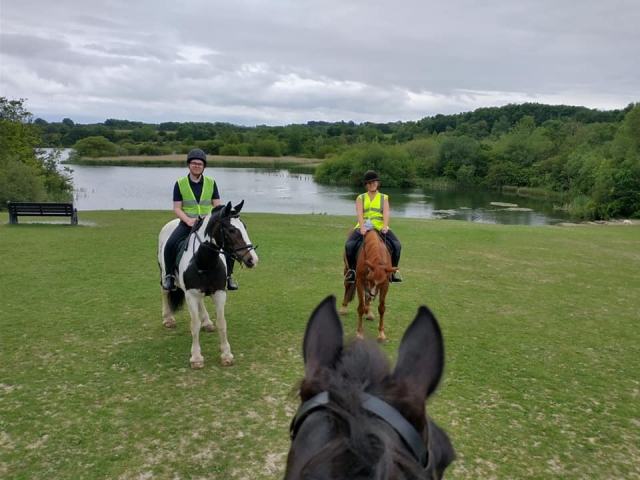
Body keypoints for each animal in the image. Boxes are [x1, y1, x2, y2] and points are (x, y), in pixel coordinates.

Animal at [157, 200, 259, 369]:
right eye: (231, 230)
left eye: (244, 226)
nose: (252, 260)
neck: (204, 261)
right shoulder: (190, 294)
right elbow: (194, 325)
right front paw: (196, 358)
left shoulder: (219, 293)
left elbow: (222, 323)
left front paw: (226, 355)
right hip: (165, 274)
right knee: (164, 291)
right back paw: (168, 319)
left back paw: (206, 322)